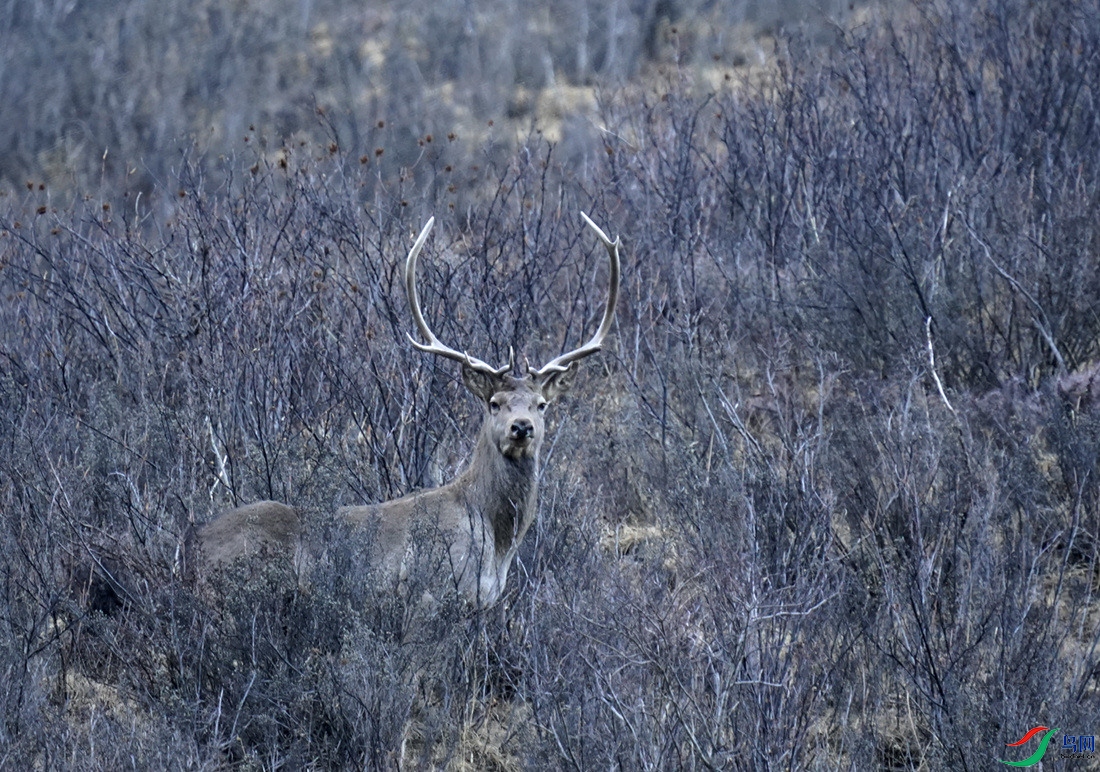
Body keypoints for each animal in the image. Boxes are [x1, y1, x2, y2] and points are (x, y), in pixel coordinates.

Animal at [189, 213, 620, 611]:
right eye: (493, 403)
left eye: (541, 404)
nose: (522, 427)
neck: (495, 542)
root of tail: (191, 548)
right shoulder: (426, 593)